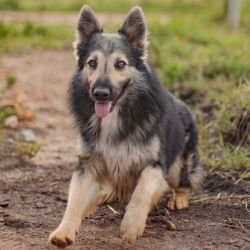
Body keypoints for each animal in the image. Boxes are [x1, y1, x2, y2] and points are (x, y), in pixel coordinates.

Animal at [48, 5, 205, 248]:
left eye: (120, 64)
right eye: (92, 63)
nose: (100, 93)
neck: (115, 117)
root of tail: (185, 105)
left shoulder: (154, 165)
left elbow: (142, 190)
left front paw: (132, 225)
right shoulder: (88, 164)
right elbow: (74, 200)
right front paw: (64, 231)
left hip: (180, 167)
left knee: (182, 184)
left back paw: (178, 199)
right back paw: (98, 199)